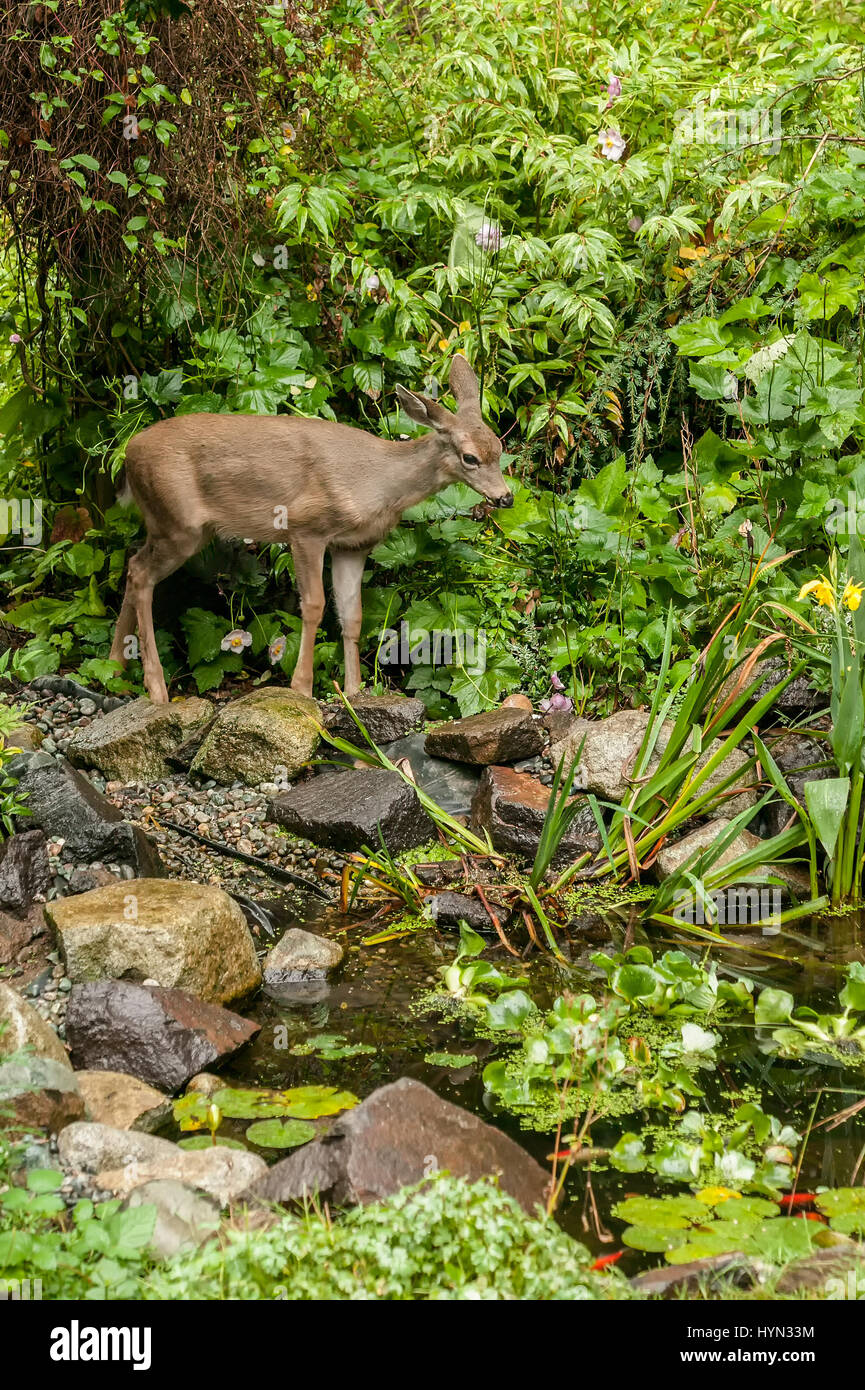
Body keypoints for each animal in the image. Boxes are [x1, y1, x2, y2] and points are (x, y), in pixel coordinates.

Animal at [111, 355, 511, 706]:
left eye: (499, 448)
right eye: (470, 457)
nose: (505, 497)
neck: (378, 484)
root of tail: (128, 453)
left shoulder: (353, 545)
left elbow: (353, 616)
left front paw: (353, 691)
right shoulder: (306, 529)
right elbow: (315, 605)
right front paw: (301, 687)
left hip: (177, 527)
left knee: (132, 565)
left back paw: (115, 666)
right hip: (178, 523)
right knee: (141, 573)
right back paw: (156, 688)